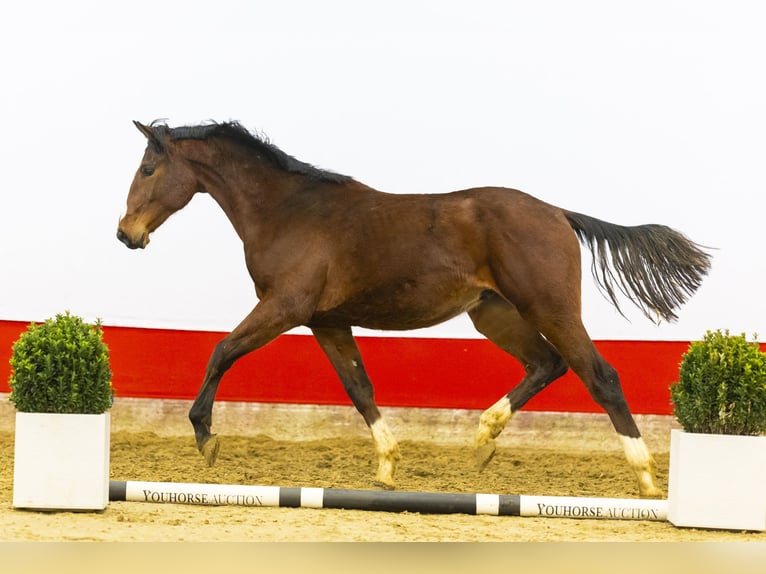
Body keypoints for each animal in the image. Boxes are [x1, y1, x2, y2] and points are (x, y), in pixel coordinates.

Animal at [117, 121, 712, 500]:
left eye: (147, 168)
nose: (126, 234)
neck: (289, 211)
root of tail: (558, 213)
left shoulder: (284, 306)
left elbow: (222, 350)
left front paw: (206, 438)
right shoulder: (326, 320)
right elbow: (359, 388)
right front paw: (387, 466)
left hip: (550, 308)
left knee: (599, 374)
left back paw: (645, 478)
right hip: (493, 314)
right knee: (547, 364)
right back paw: (482, 440)